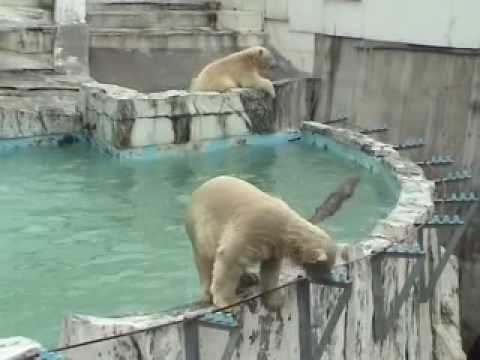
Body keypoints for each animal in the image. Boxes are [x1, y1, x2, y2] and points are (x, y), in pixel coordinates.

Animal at [185, 174, 338, 310]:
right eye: (325, 265)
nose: (329, 280)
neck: (284, 227)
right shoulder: (252, 227)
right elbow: (229, 256)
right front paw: (227, 301)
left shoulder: (274, 246)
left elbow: (270, 269)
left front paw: (275, 300)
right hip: (201, 230)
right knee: (205, 261)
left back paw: (250, 277)